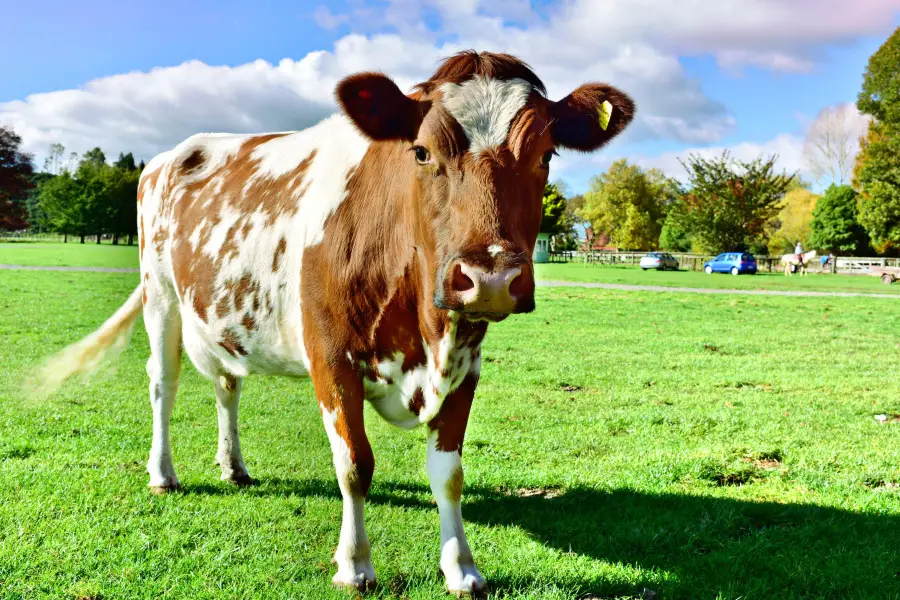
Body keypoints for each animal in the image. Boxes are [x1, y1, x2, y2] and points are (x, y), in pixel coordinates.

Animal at [38, 51, 636, 596]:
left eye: (546, 155)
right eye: (423, 152)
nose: (489, 277)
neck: (424, 336)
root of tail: (176, 152)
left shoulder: (466, 363)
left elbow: (449, 474)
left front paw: (461, 568)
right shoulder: (330, 358)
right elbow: (354, 464)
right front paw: (355, 565)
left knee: (228, 385)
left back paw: (234, 466)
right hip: (160, 295)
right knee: (163, 383)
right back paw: (163, 474)